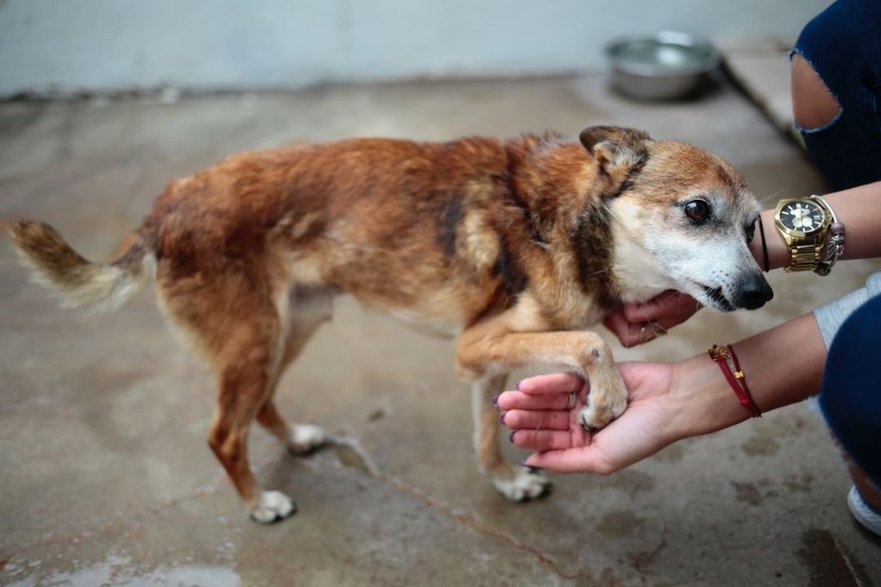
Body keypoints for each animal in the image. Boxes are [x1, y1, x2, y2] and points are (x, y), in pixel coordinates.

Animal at [8, 126, 768, 520]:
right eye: (696, 210)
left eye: (752, 226)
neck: (574, 222)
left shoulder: (484, 356)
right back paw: (259, 503)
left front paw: (505, 482)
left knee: (260, 404)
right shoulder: (477, 343)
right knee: (223, 432)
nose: (762, 290)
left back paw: (300, 438)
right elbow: (591, 343)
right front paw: (604, 401)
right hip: (255, 339)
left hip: (293, 325)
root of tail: (161, 211)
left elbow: (486, 431)